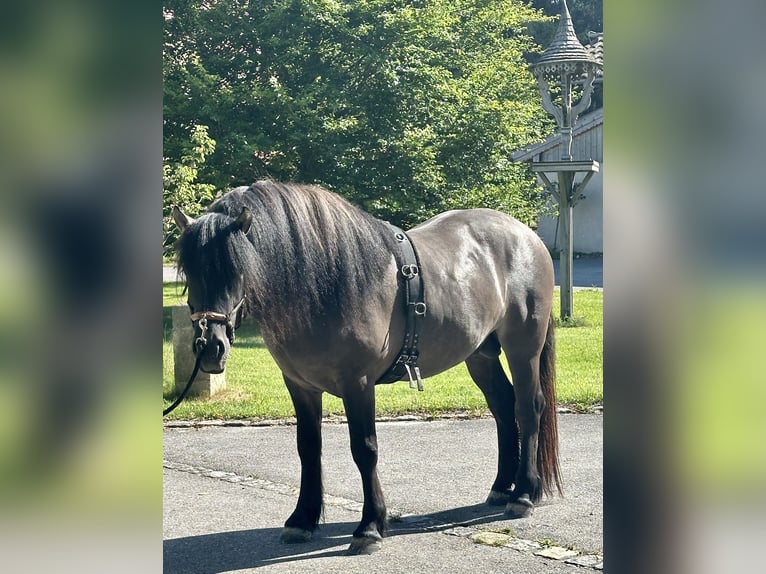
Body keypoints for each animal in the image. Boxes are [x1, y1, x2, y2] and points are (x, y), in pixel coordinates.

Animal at [174, 181, 564, 560]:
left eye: (236, 268)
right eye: (190, 272)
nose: (209, 347)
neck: (325, 287)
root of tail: (526, 236)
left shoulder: (358, 384)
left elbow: (364, 449)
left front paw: (370, 527)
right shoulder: (300, 385)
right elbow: (307, 447)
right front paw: (302, 519)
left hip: (523, 349)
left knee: (528, 408)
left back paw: (523, 494)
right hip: (481, 354)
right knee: (503, 408)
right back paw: (501, 488)